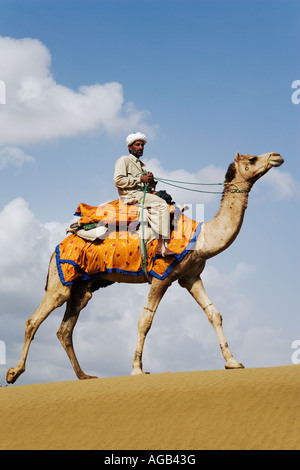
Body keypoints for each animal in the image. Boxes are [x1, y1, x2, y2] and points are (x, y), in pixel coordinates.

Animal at [6, 152, 284, 384]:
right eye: (252, 158)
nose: (276, 156)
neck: (202, 237)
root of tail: (59, 244)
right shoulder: (161, 275)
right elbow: (145, 320)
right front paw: (137, 369)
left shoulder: (190, 276)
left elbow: (213, 313)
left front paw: (233, 362)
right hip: (61, 278)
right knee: (34, 319)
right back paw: (14, 373)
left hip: (82, 286)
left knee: (65, 329)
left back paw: (84, 375)